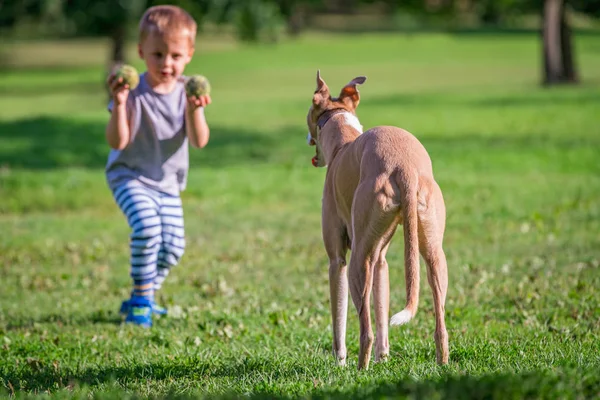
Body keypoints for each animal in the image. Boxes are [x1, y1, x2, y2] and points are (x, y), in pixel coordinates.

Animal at [308, 71, 448, 368]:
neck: (343, 142)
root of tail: (405, 167)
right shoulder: (381, 260)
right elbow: (382, 307)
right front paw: (384, 359)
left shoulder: (337, 261)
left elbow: (339, 318)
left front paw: (339, 361)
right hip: (433, 255)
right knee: (440, 321)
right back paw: (443, 361)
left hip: (358, 262)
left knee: (366, 329)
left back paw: (360, 368)